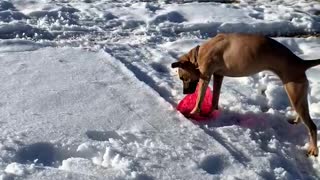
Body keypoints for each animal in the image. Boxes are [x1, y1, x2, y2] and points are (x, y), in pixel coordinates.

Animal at [172, 33, 320, 157]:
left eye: (182, 78)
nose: (185, 92)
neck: (199, 53)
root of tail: (301, 62)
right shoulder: (218, 76)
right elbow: (215, 99)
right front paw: (208, 113)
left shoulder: (205, 77)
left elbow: (199, 100)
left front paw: (192, 113)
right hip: (298, 95)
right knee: (303, 115)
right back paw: (296, 121)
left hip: (294, 92)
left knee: (312, 126)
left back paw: (313, 149)